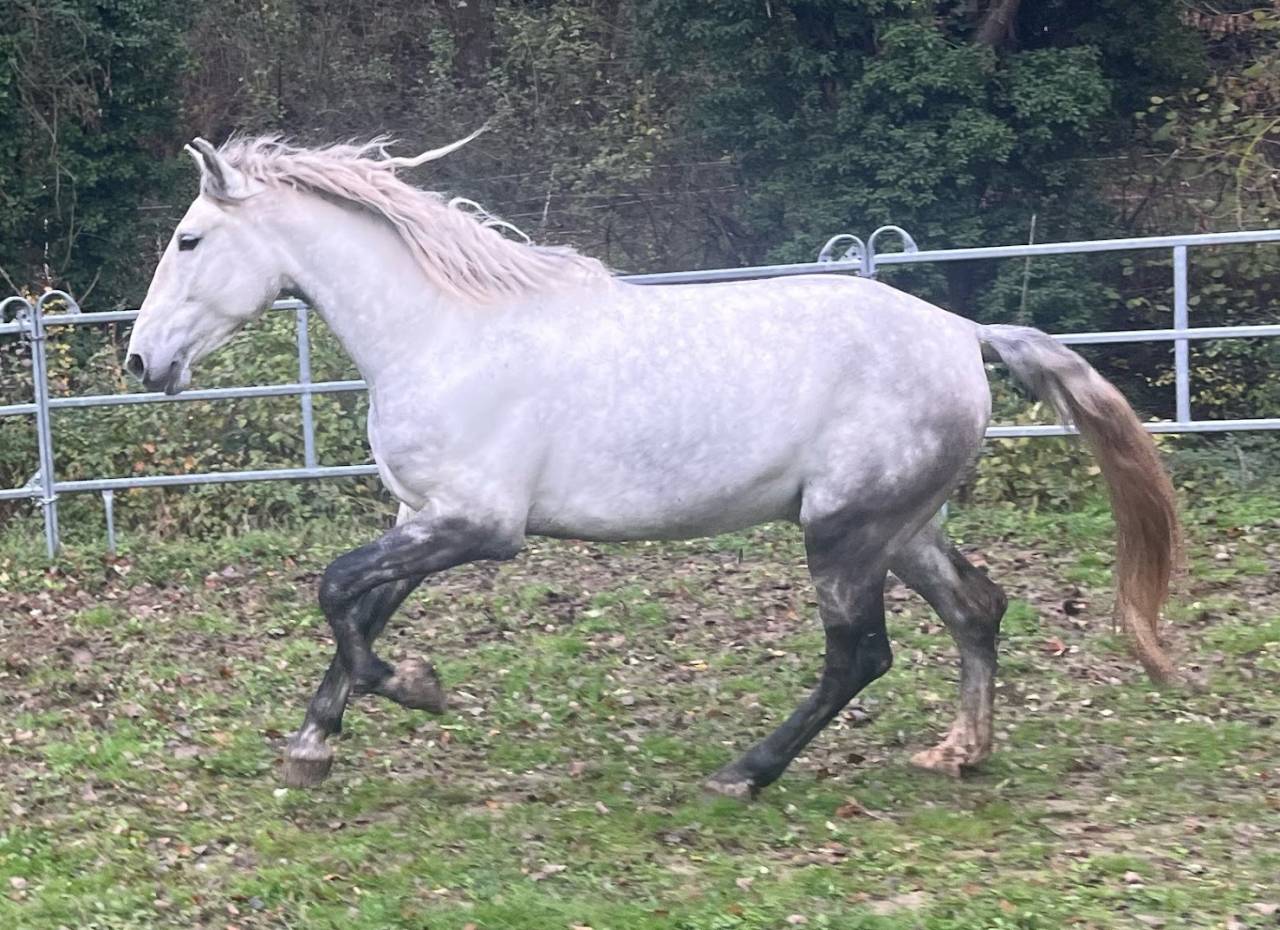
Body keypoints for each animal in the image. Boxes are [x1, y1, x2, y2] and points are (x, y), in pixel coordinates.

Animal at [126, 133, 1181, 797]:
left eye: (189, 239)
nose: (141, 364)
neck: (443, 332)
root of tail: (964, 334)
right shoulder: (420, 515)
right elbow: (359, 603)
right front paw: (312, 747)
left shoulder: (478, 526)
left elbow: (336, 590)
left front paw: (413, 688)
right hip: (903, 527)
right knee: (978, 610)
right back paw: (960, 752)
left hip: (843, 533)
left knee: (860, 655)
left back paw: (744, 774)